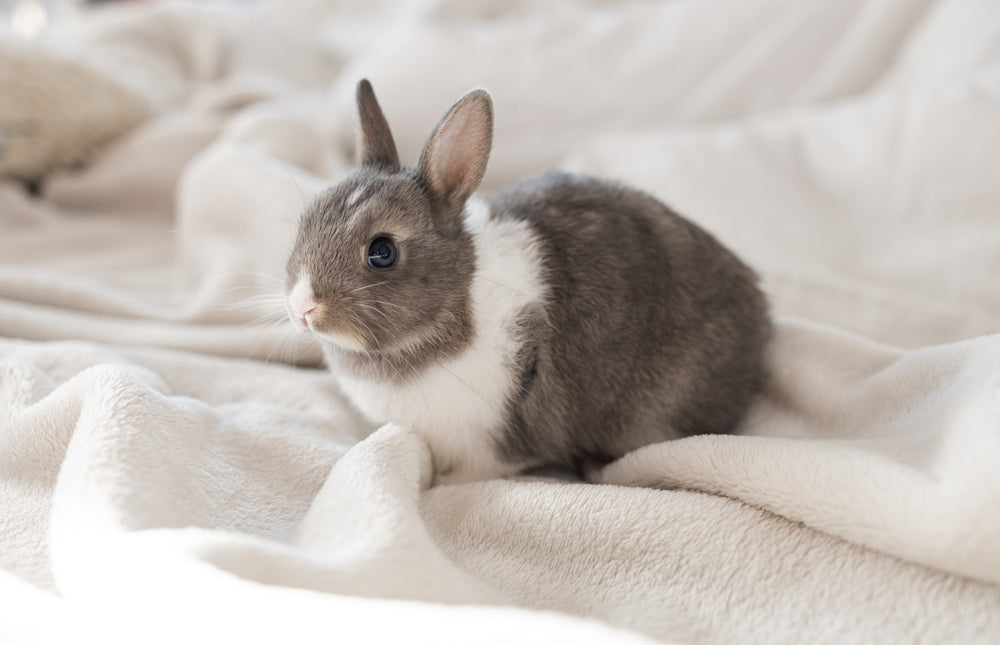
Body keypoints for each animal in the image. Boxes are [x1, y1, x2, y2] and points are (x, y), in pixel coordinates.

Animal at [285, 79, 771, 486]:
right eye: (306, 223)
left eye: (382, 251)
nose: (302, 308)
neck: (458, 296)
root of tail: (760, 324)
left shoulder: (492, 442)